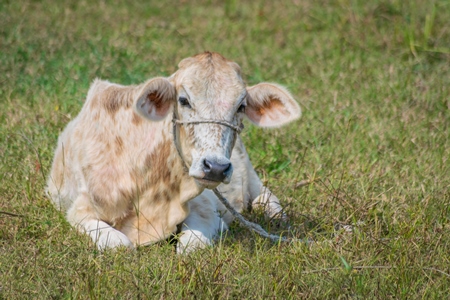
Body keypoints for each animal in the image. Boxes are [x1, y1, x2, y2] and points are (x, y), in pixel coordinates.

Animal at [45, 52, 300, 253]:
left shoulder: (206, 207)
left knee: (265, 198)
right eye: (183, 100)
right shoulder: (80, 208)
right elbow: (120, 245)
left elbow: (191, 246)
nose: (216, 167)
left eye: (241, 106)